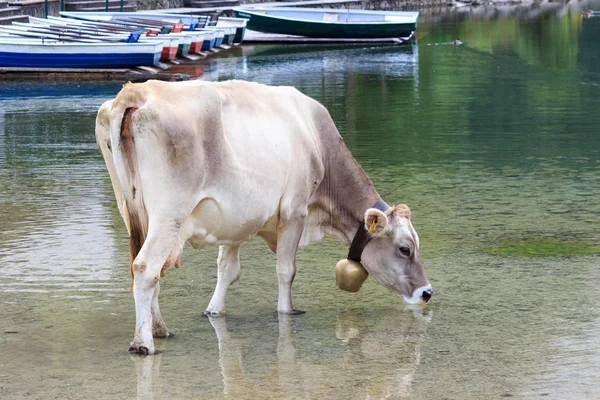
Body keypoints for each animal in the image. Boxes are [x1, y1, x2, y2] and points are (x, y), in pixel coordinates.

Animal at [95, 79, 432, 354]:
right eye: (405, 249)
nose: (427, 292)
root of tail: (137, 91)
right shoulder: (295, 210)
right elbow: (286, 271)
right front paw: (287, 312)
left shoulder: (235, 219)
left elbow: (227, 270)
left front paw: (214, 311)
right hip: (170, 213)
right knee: (146, 267)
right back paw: (143, 342)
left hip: (132, 211)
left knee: (147, 268)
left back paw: (159, 329)